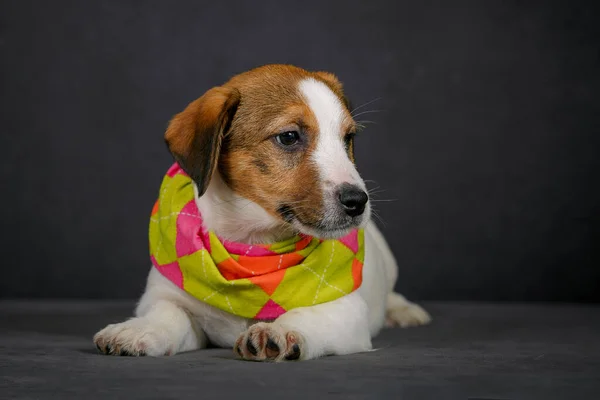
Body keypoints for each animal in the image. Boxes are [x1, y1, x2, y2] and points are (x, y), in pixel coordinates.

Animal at [92, 64, 432, 360]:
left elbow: (308, 314)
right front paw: (138, 330)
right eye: (289, 137)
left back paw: (402, 310)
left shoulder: (346, 312)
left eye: (348, 138)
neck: (254, 245)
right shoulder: (166, 295)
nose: (358, 201)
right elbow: (167, 313)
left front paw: (280, 330)